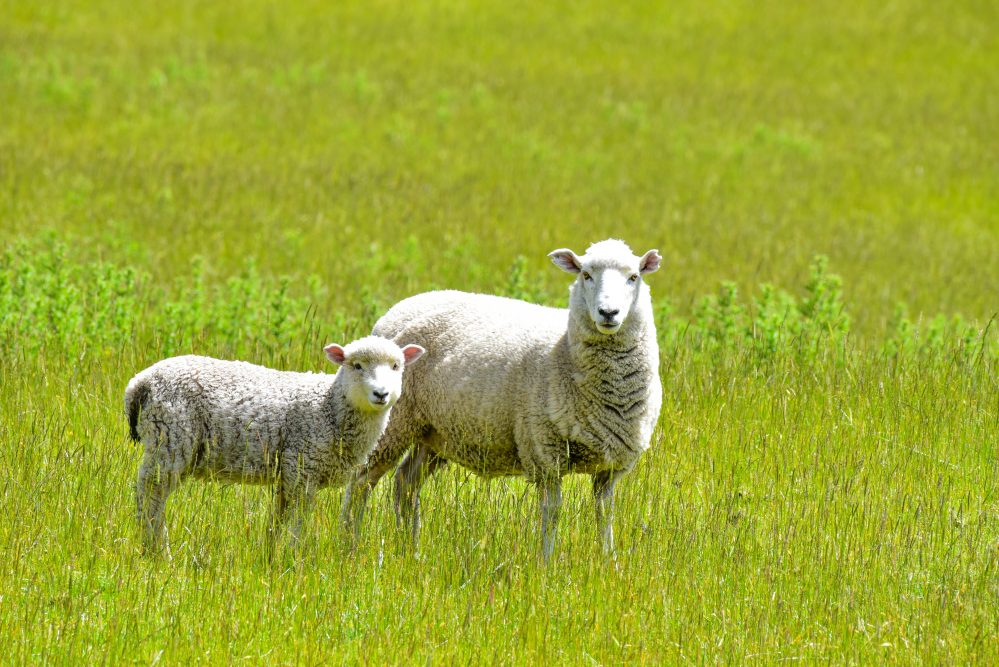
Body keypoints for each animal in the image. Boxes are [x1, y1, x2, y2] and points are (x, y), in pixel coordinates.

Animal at [123, 336, 424, 556]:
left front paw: (270, 556)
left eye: (396, 367)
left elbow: (278, 519)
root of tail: (140, 382)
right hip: (170, 438)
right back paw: (157, 550)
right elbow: (298, 521)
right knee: (150, 495)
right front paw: (293, 559)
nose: (381, 394)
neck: (329, 407)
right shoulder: (303, 468)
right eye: (357, 365)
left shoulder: (288, 472)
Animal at [344, 237, 664, 560]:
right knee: (360, 483)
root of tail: (397, 310)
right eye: (586, 274)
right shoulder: (543, 453)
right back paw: (350, 547)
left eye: (633, 277)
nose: (608, 313)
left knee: (405, 484)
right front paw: (547, 564)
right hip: (392, 423)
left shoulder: (611, 465)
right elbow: (552, 512)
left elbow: (605, 513)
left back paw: (411, 550)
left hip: (433, 432)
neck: (564, 352)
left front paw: (607, 560)